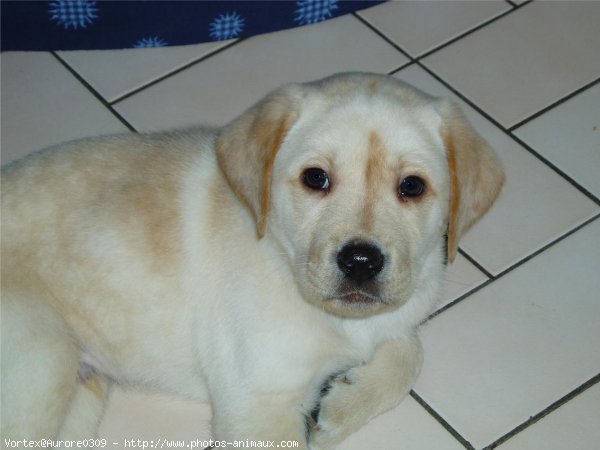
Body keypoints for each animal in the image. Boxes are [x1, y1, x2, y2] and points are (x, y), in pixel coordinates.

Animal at [2, 72, 504, 448]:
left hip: (77, 395)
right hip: (42, 360)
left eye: (412, 186)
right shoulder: (259, 402)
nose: (360, 262)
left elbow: (411, 350)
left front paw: (341, 404)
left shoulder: (400, 308)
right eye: (316, 178)